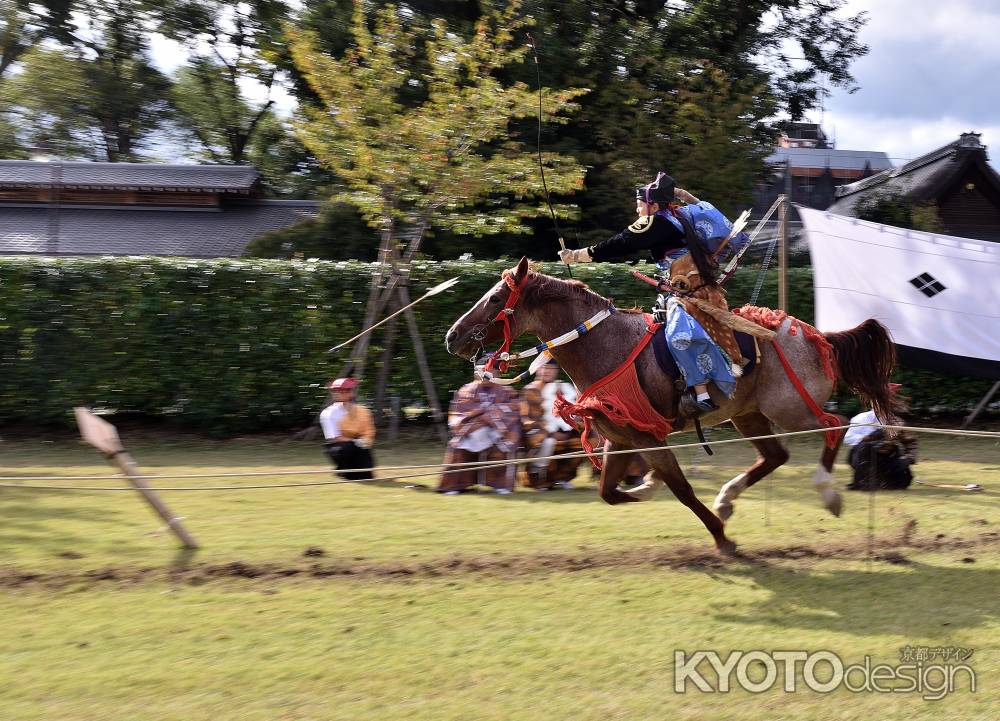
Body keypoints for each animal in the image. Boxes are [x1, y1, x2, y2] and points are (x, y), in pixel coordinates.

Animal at [446, 256, 900, 556]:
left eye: (494, 298)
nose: (452, 336)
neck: (605, 346)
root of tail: (818, 337)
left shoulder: (649, 437)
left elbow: (681, 490)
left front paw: (721, 537)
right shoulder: (621, 437)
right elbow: (609, 493)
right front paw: (648, 487)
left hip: (789, 407)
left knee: (835, 424)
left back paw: (827, 492)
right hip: (747, 414)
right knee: (776, 455)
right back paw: (727, 498)